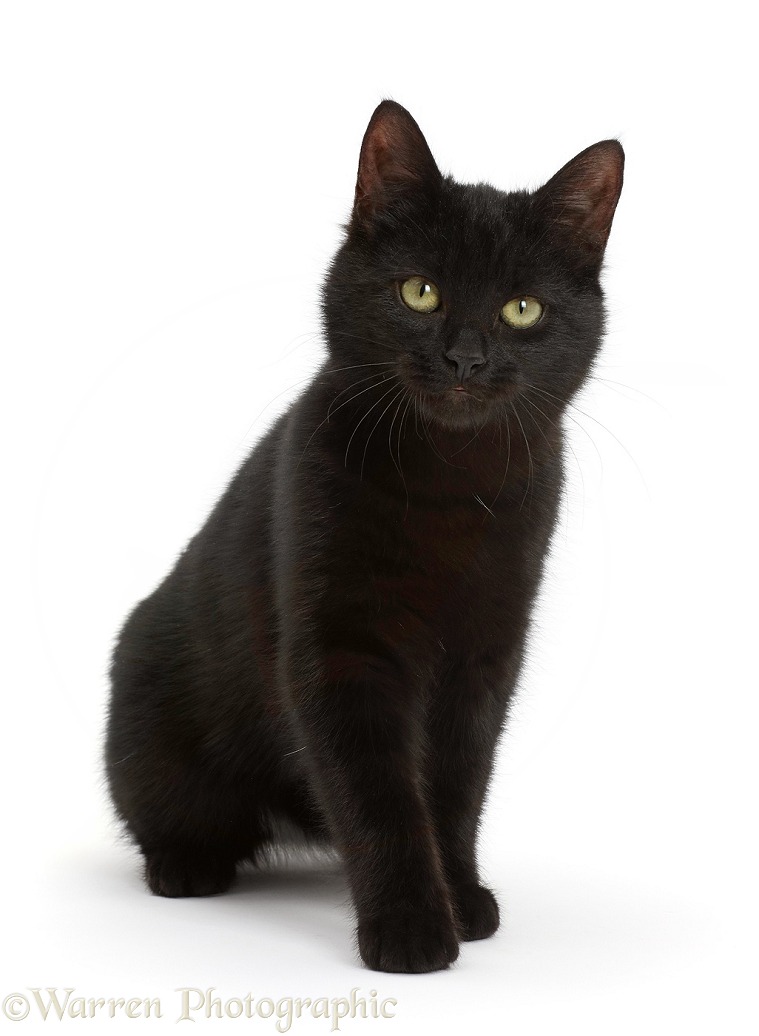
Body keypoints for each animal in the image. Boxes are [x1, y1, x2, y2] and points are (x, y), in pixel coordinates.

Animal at [103, 97, 621, 969]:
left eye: (521, 309)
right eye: (419, 293)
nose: (464, 358)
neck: (450, 485)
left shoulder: (483, 658)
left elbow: (453, 787)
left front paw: (460, 897)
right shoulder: (342, 651)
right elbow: (378, 796)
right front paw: (410, 928)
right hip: (153, 715)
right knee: (164, 811)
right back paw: (186, 866)